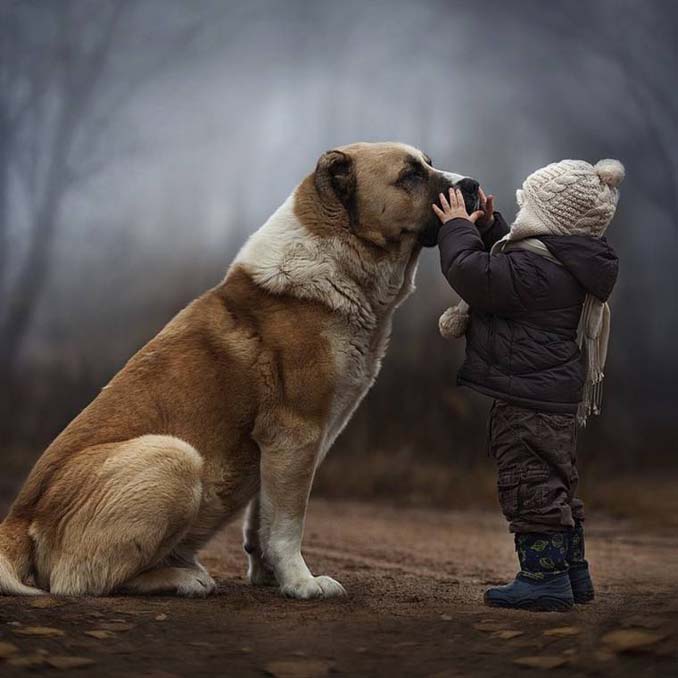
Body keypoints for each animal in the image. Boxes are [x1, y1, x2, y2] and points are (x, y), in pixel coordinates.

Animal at [0, 142, 478, 600]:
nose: (472, 185)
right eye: (410, 174)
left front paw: (270, 576)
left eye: (428, 163)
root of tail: (18, 518)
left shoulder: (285, 447)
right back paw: (184, 578)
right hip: (174, 457)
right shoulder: (296, 433)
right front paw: (302, 584)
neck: (337, 258)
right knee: (82, 581)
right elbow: (287, 523)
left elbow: (263, 518)